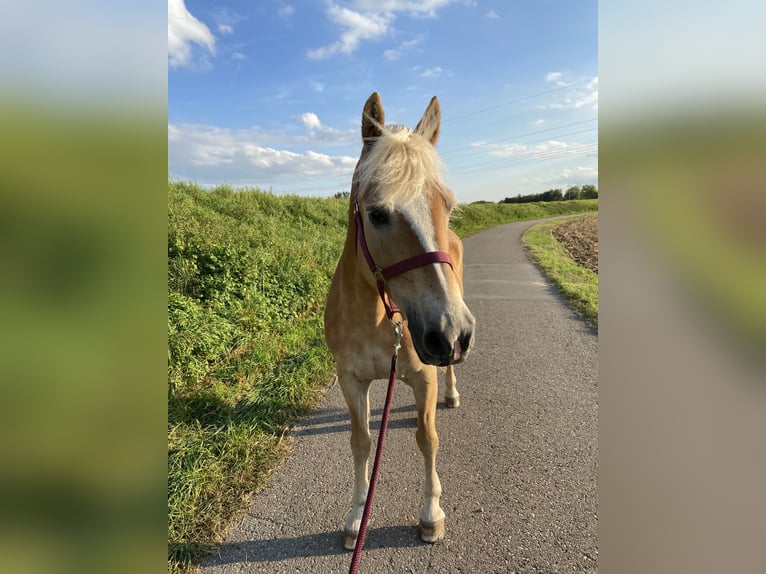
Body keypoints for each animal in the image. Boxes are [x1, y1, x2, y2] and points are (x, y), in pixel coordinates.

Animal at [322, 92, 474, 552]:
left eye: (448, 204)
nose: (451, 333)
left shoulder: (424, 376)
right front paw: (356, 517)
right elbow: (361, 442)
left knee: (449, 379)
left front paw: (431, 514)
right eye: (377, 214)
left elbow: (427, 438)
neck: (375, 316)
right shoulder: (351, 379)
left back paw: (453, 394)